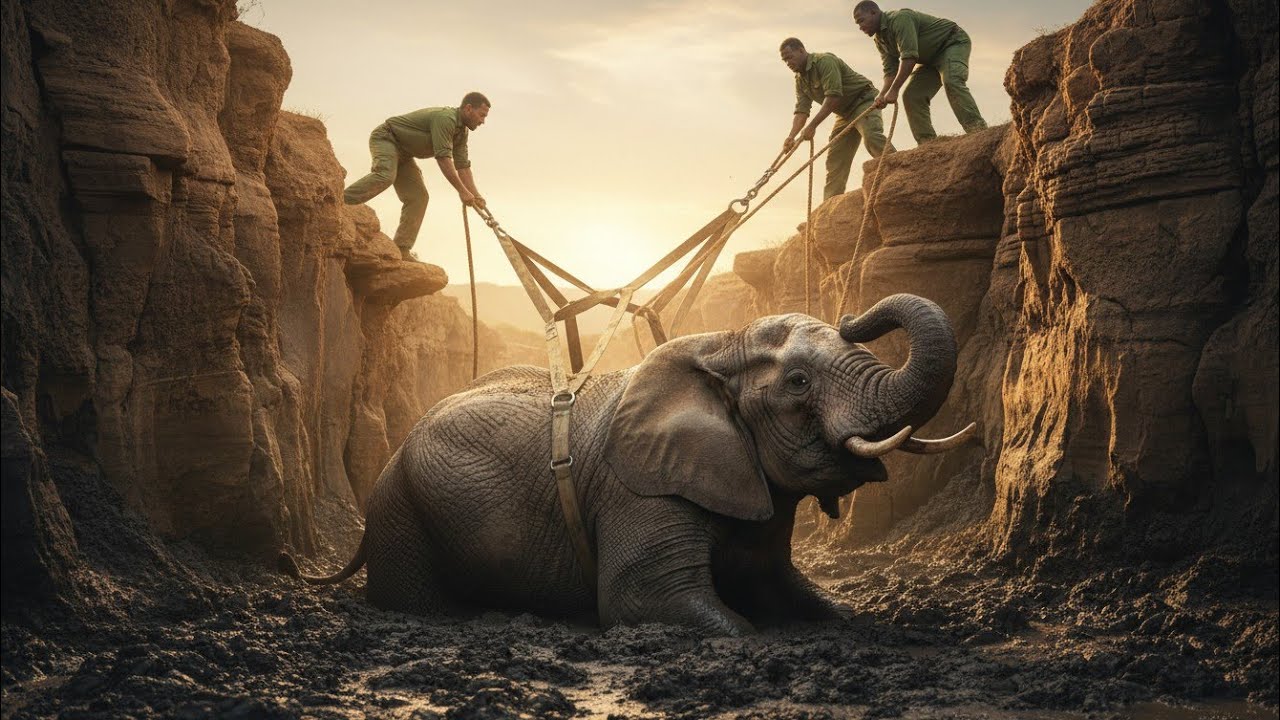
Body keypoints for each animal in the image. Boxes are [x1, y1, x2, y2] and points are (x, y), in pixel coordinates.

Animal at [282, 293, 974, 635]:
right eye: (799, 382)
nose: (853, 316)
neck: (720, 346)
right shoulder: (639, 489)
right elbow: (656, 602)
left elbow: (791, 592)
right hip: (401, 508)